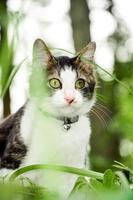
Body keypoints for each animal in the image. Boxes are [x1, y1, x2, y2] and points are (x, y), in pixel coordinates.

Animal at [0, 39, 96, 198]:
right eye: (55, 83)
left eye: (80, 83)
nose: (70, 98)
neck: (63, 125)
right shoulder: (8, 170)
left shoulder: (74, 172)